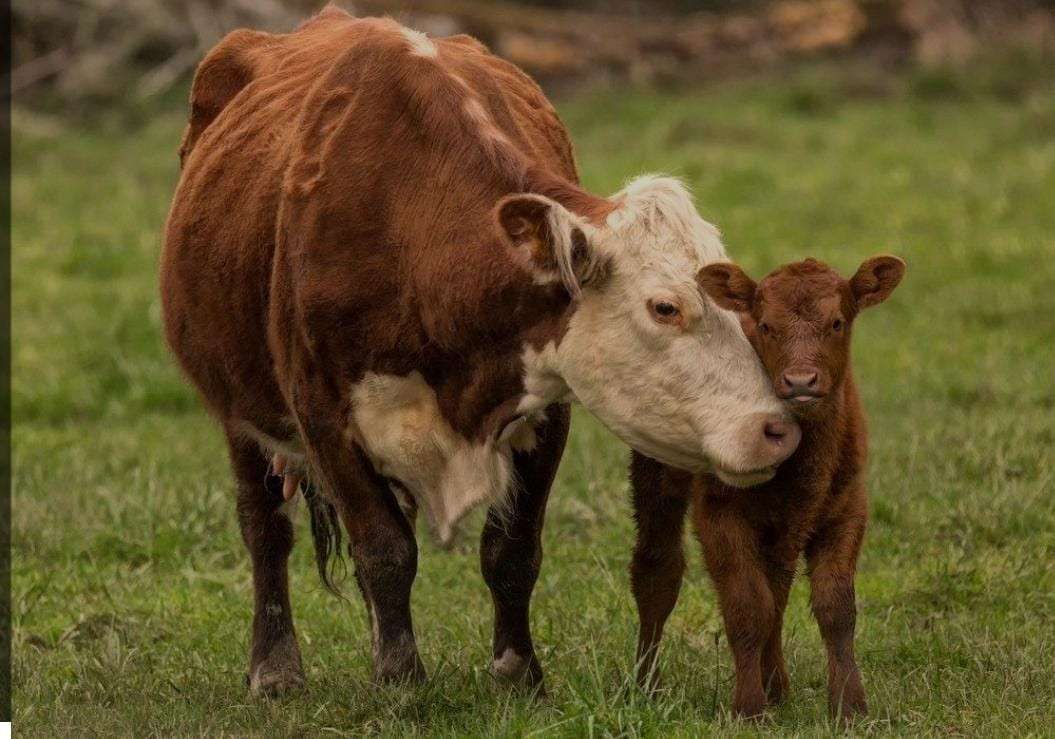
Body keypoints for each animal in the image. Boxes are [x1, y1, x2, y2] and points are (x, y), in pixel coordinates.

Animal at [158, 5, 797, 696]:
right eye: (665, 306)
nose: (776, 429)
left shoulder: (546, 405)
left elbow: (510, 551)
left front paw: (518, 672)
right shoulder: (322, 414)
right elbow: (384, 549)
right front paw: (401, 681)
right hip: (240, 412)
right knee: (265, 526)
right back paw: (275, 668)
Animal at [624, 256, 907, 717]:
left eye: (837, 322)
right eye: (766, 326)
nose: (801, 381)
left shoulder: (848, 508)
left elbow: (835, 607)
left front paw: (849, 706)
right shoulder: (719, 512)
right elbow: (746, 605)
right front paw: (749, 707)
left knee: (777, 587)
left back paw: (778, 687)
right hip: (656, 470)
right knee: (657, 569)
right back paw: (646, 685)